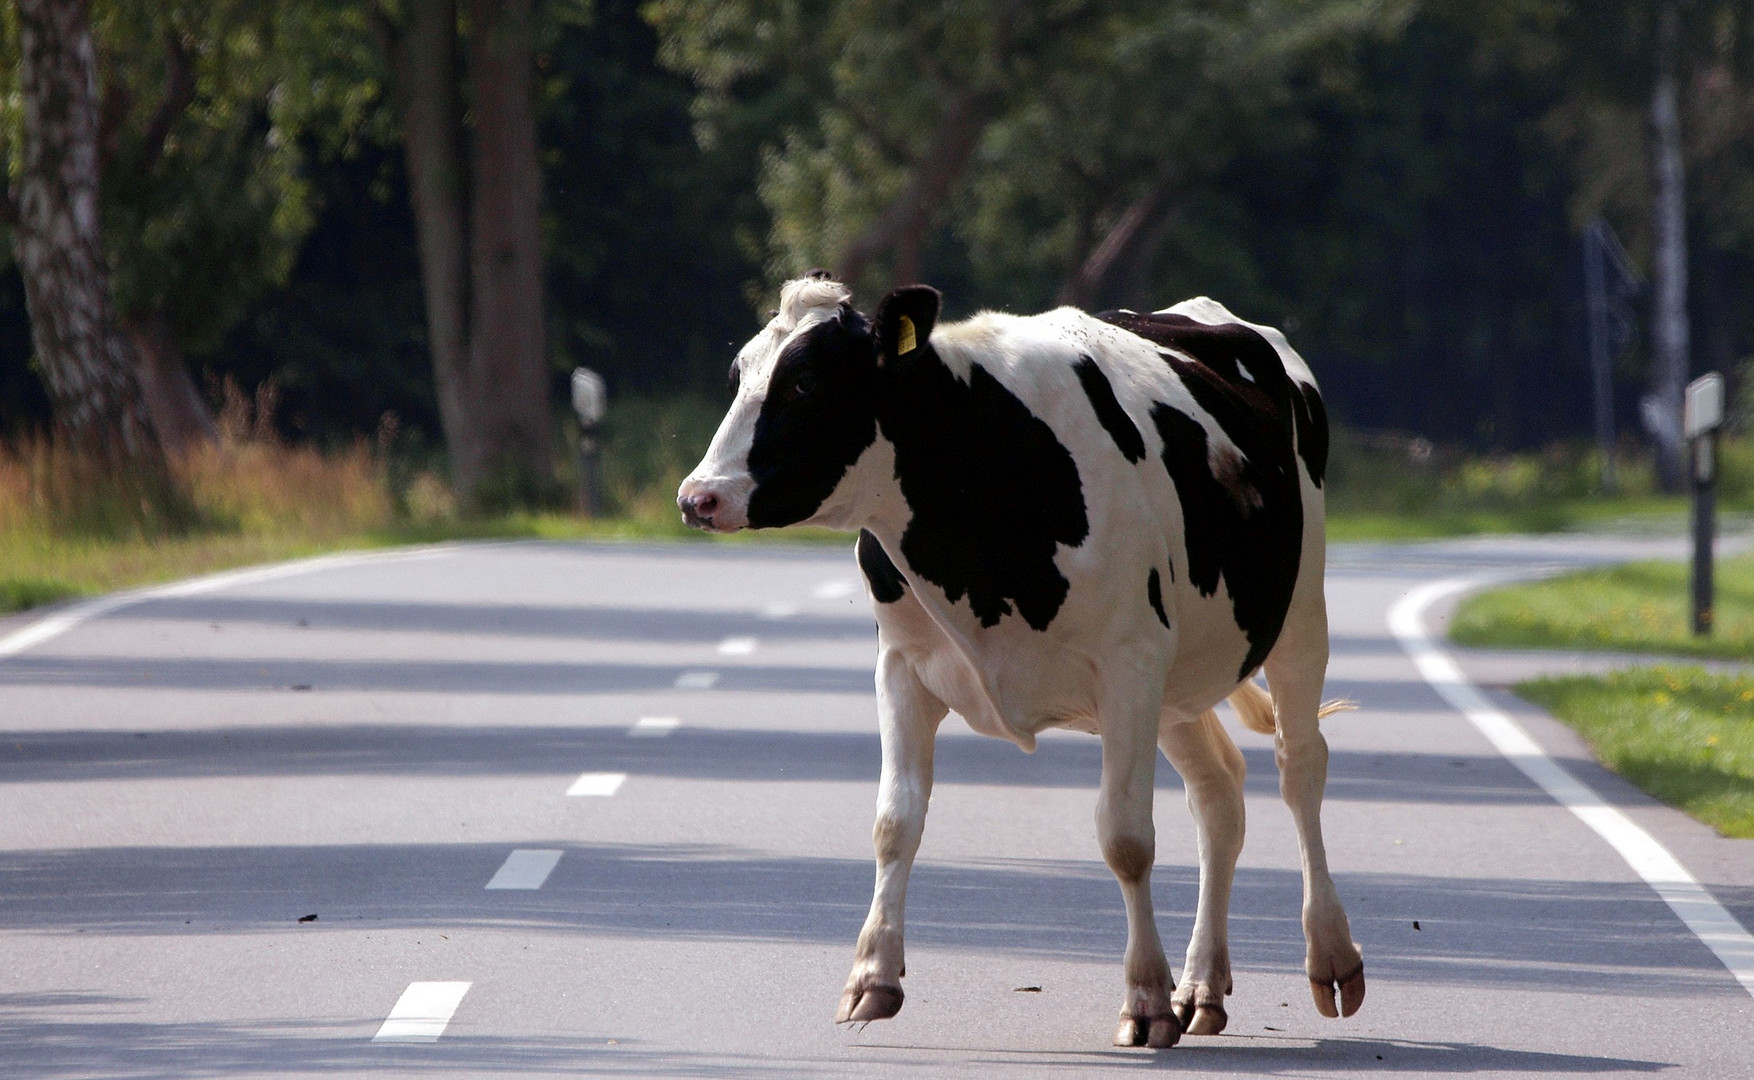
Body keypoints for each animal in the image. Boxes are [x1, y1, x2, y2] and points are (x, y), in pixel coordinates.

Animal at [677, 273, 1361, 1051]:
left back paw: (1330, 958)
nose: (697, 497)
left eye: (803, 383)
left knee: (1298, 765)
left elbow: (1126, 838)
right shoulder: (902, 666)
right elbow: (894, 821)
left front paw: (1145, 1001)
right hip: (1180, 681)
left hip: (1299, 612)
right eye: (740, 374)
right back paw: (1202, 987)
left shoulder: (1128, 664)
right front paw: (871, 977)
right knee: (1220, 793)